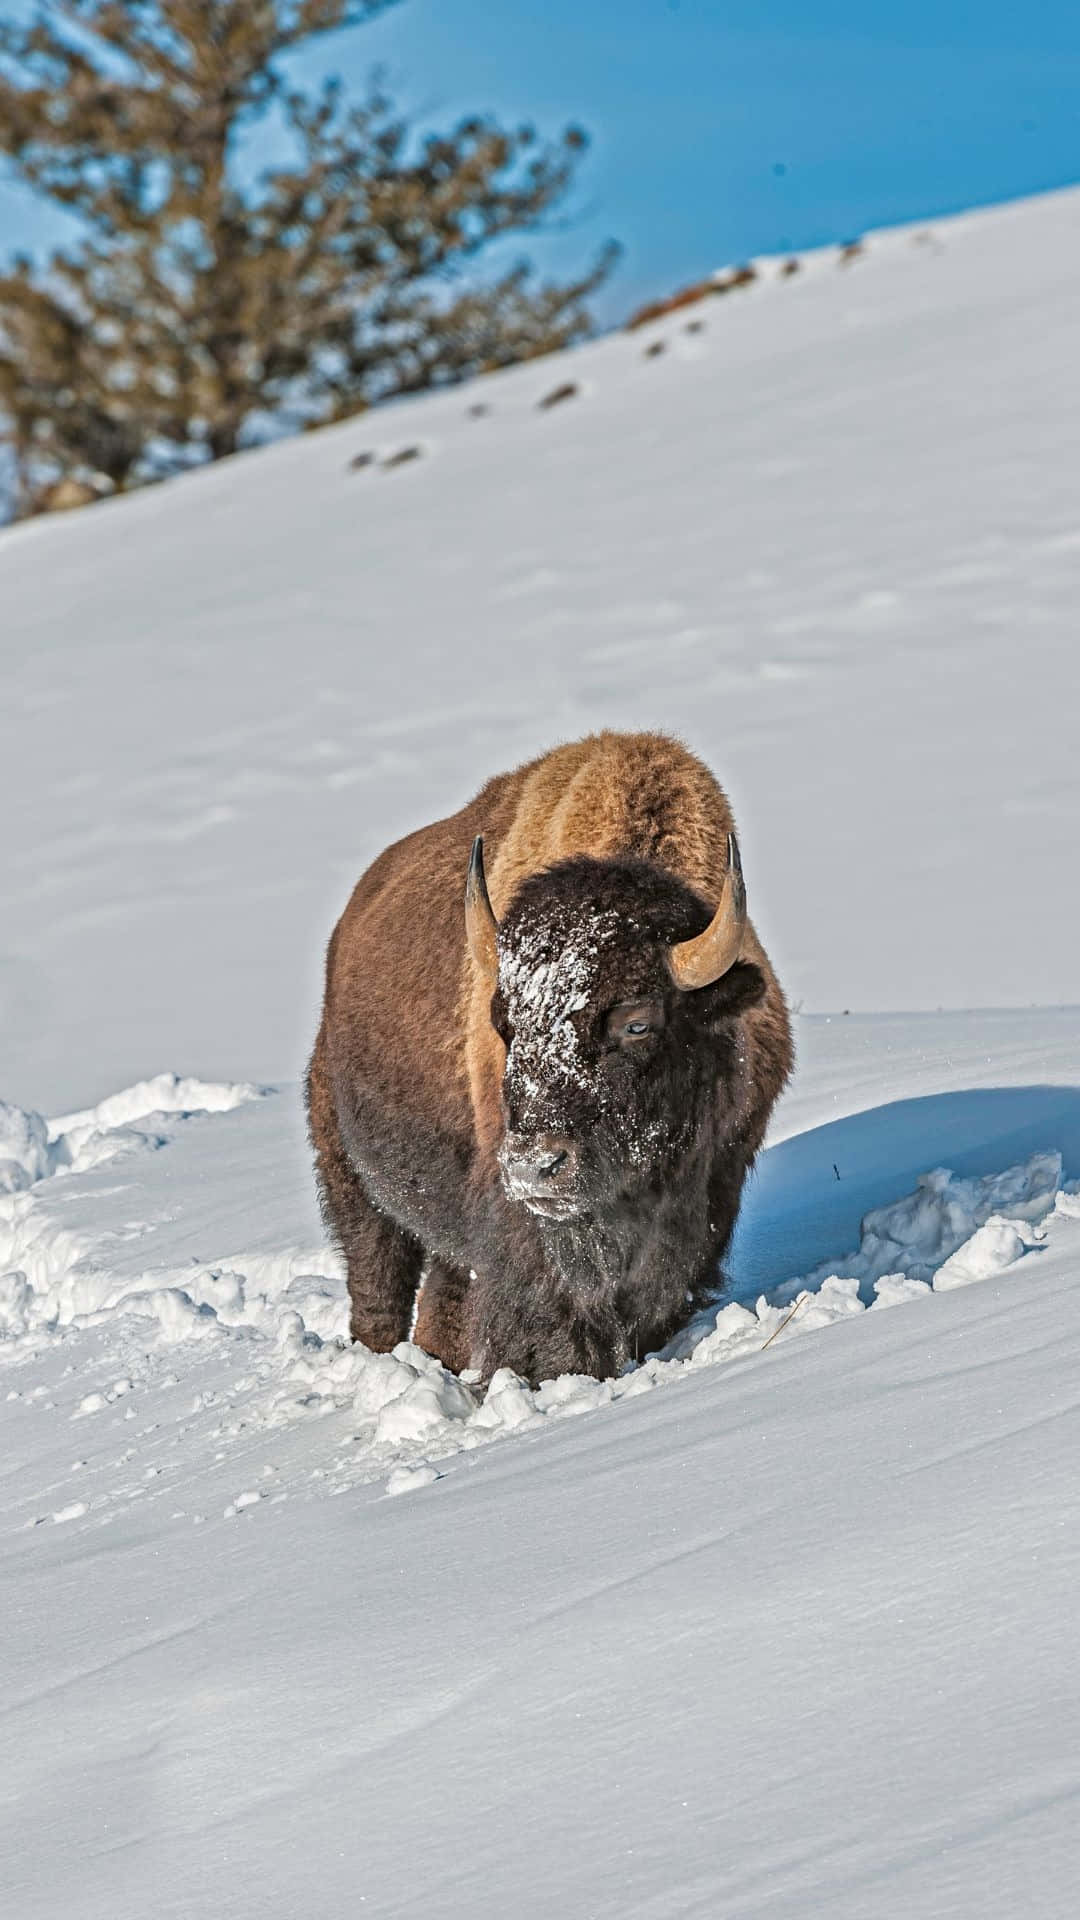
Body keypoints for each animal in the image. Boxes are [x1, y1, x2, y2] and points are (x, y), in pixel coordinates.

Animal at [305, 729, 791, 1382]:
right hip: (351, 1177)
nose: (534, 1166)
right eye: (506, 1024)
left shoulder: (715, 1185)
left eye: (638, 1023)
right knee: (377, 1281)